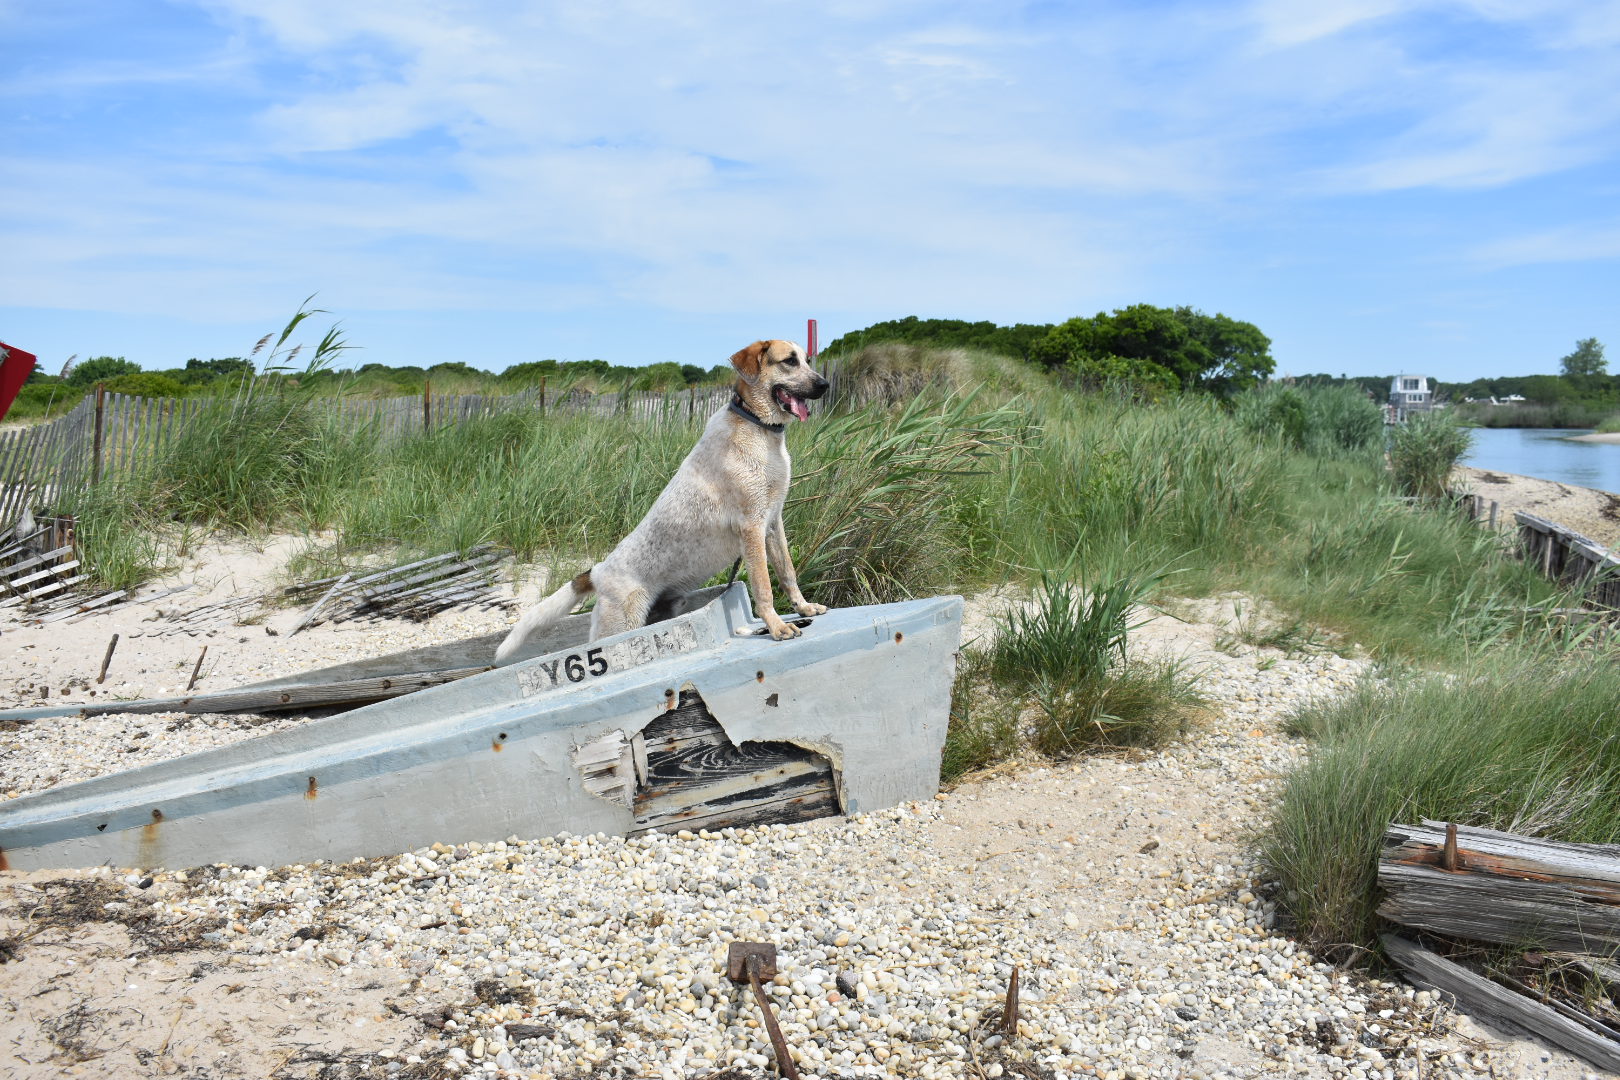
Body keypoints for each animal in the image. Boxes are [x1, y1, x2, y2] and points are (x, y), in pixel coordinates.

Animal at [492, 340, 829, 667]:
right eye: (789, 361)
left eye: (807, 360)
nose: (825, 385)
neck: (758, 427)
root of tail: (597, 572)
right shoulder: (752, 527)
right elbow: (764, 588)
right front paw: (776, 626)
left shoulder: (772, 523)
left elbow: (787, 574)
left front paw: (803, 608)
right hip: (619, 628)